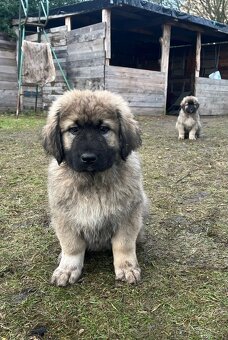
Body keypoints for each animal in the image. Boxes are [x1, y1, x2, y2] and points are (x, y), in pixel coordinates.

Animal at [41, 89, 147, 286]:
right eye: (74, 130)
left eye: (104, 129)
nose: (88, 158)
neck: (93, 182)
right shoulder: (65, 218)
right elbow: (72, 246)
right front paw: (67, 268)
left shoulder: (128, 215)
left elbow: (124, 245)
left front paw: (127, 267)